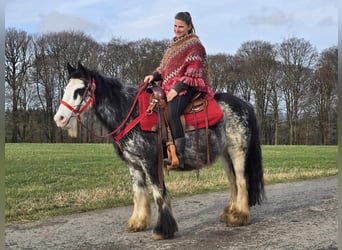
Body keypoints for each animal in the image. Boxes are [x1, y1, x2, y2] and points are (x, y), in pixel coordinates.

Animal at [53, 62, 264, 240]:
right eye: (66, 89)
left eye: (80, 90)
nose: (59, 119)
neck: (132, 115)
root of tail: (245, 104)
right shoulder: (134, 164)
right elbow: (139, 193)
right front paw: (137, 223)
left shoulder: (150, 162)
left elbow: (158, 193)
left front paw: (163, 230)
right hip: (224, 155)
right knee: (232, 182)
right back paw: (231, 213)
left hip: (238, 151)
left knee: (241, 181)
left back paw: (239, 217)